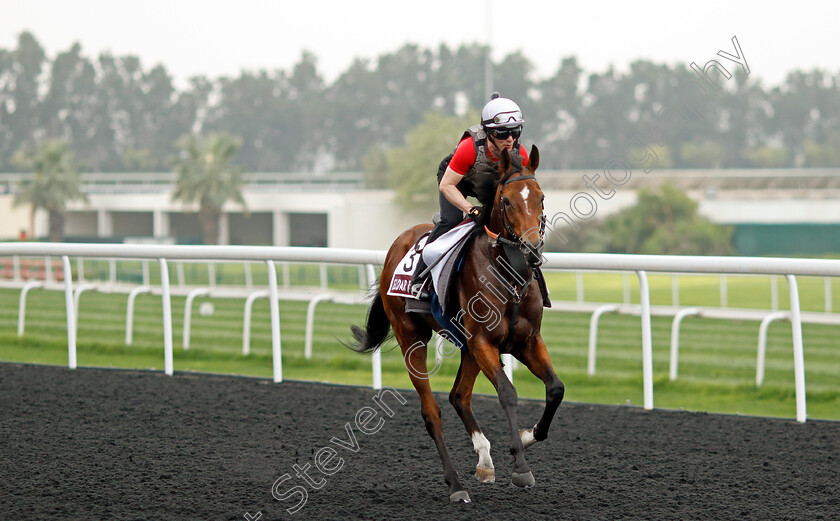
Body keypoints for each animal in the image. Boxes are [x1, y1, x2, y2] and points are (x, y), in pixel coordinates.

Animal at [348, 144, 564, 502]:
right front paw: (520, 466)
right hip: (413, 339)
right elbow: (508, 393)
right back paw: (456, 484)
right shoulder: (482, 341)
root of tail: (397, 245)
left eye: (541, 197)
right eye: (507, 201)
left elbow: (555, 389)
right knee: (432, 411)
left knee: (458, 396)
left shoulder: (527, 340)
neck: (508, 275)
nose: (532, 251)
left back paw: (485, 460)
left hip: (464, 345)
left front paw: (528, 435)